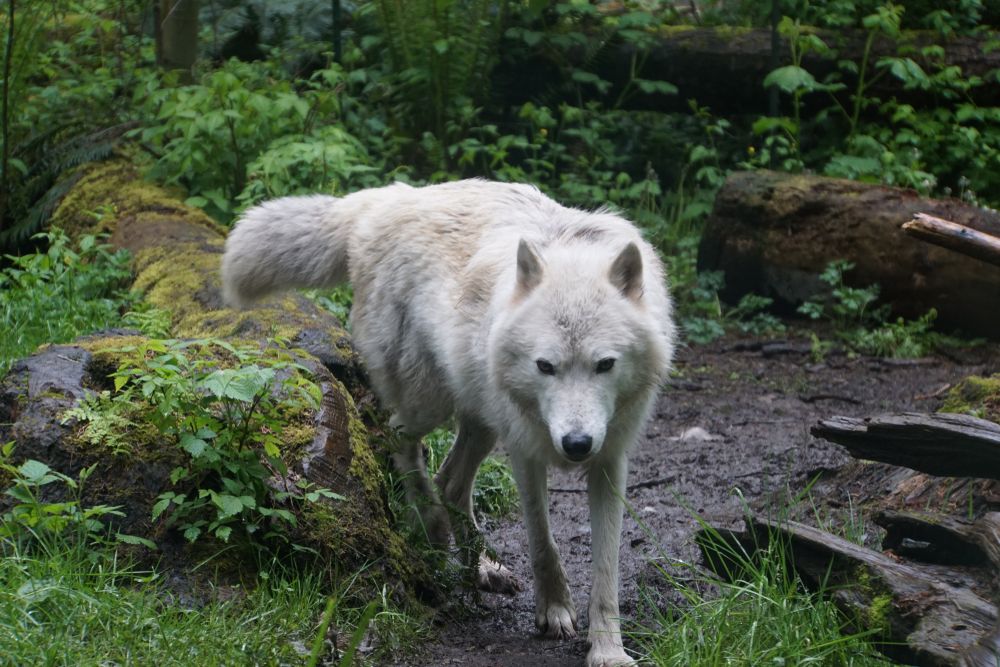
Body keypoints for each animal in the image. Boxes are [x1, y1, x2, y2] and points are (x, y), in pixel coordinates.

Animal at [221, 180, 675, 667]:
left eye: (605, 364)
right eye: (545, 366)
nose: (575, 444)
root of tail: (386, 199)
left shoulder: (610, 458)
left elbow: (606, 569)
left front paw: (608, 649)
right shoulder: (525, 450)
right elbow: (542, 542)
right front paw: (554, 609)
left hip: (483, 419)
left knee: (451, 481)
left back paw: (481, 566)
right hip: (431, 403)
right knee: (399, 441)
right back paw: (433, 530)